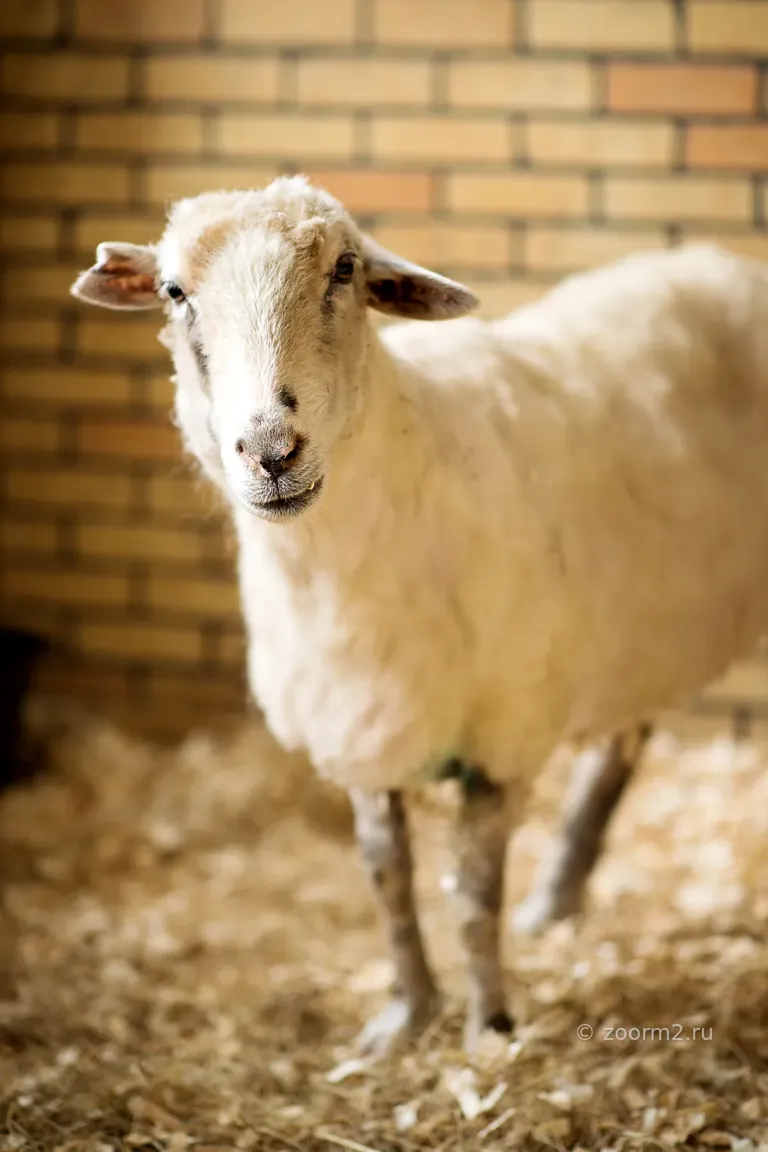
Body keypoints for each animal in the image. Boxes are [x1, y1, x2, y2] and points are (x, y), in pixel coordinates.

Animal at [70, 175, 768, 1056]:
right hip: (639, 625)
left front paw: (488, 1028)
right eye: (172, 292)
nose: (271, 450)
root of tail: (728, 264)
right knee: (620, 746)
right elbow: (387, 879)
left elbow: (471, 896)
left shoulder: (502, 738)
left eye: (344, 269)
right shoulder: (359, 732)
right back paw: (556, 900)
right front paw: (406, 1016)